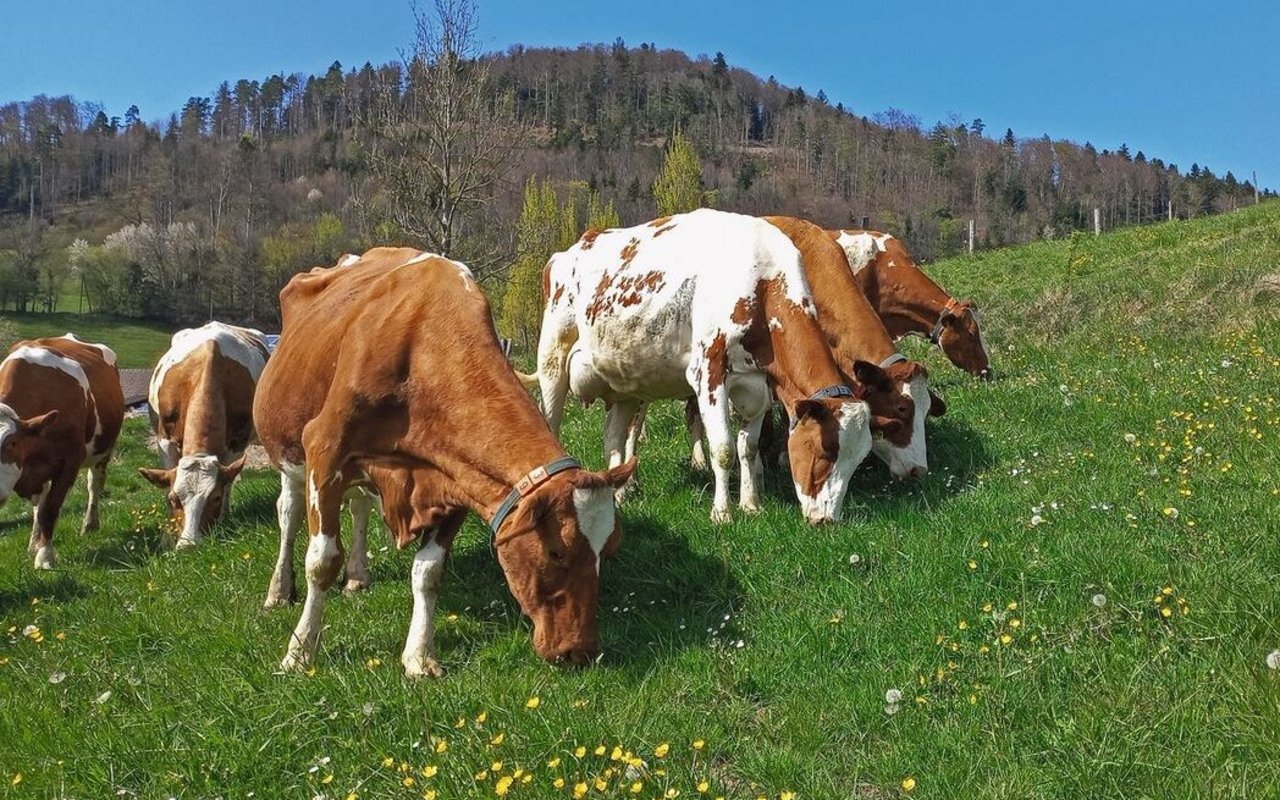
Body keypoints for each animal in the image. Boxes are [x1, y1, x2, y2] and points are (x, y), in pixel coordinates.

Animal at [0, 332, 123, 568]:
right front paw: (38, 545)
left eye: (11, 443)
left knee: (94, 485)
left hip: (103, 450)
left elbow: (50, 509)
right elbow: (41, 508)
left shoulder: (69, 462)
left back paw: (90, 524)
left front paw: (45, 557)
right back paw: (34, 541)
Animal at [140, 321, 270, 545]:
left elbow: (228, 482)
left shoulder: (236, 442)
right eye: (174, 499)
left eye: (215, 497)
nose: (189, 544)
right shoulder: (164, 440)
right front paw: (168, 536)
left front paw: (223, 520)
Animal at [254, 248, 634, 675]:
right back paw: (279, 590)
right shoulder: (325, 449)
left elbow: (429, 571)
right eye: (557, 552)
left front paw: (419, 655)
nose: (579, 652)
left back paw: (357, 575)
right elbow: (320, 561)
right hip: (290, 455)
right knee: (288, 514)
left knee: (359, 507)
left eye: (609, 549)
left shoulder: (457, 477)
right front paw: (300, 651)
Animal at [527, 206, 870, 524]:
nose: (827, 520)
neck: (762, 279)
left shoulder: (760, 384)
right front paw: (722, 512)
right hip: (552, 361)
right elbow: (723, 449)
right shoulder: (709, 372)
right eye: (825, 452)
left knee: (613, 436)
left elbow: (748, 447)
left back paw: (620, 495)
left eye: (858, 461)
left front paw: (751, 505)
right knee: (551, 423)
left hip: (625, 383)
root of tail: (576, 246)